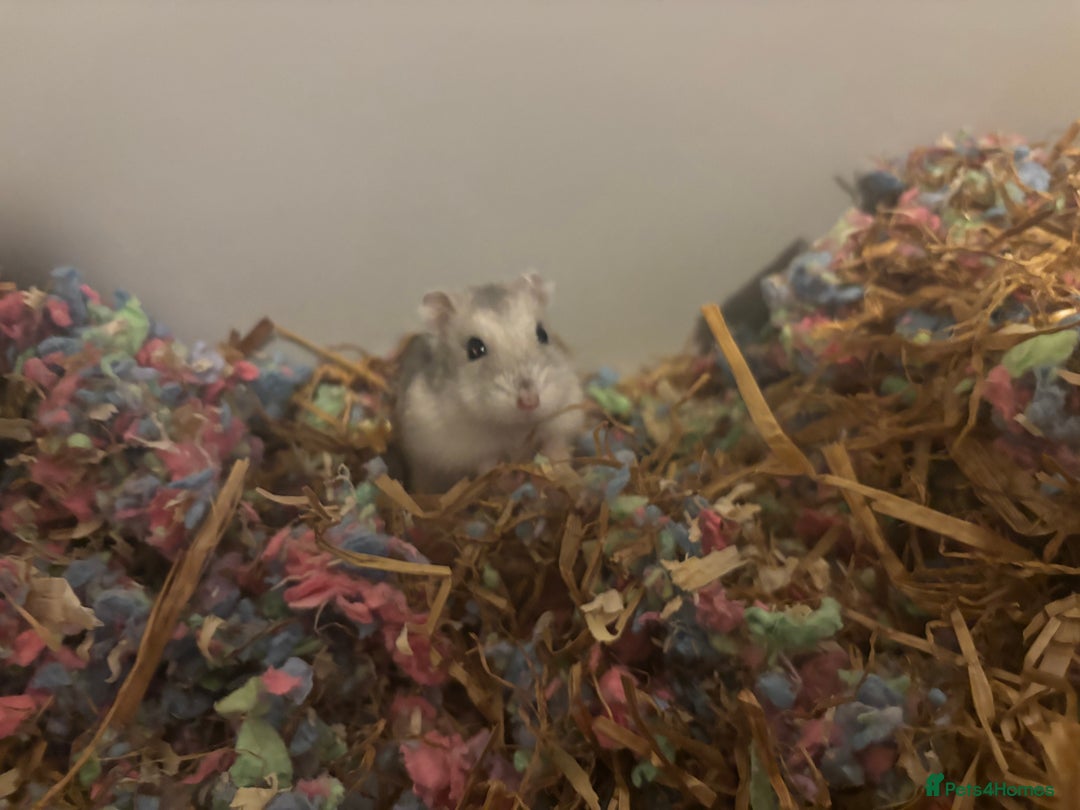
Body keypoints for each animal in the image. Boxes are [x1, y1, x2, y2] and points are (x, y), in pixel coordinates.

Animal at [393, 272, 586, 493]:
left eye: (543, 334)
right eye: (474, 349)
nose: (530, 402)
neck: (516, 426)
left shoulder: (564, 418)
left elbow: (556, 447)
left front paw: (549, 475)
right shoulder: (463, 449)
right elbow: (488, 469)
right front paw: (517, 478)